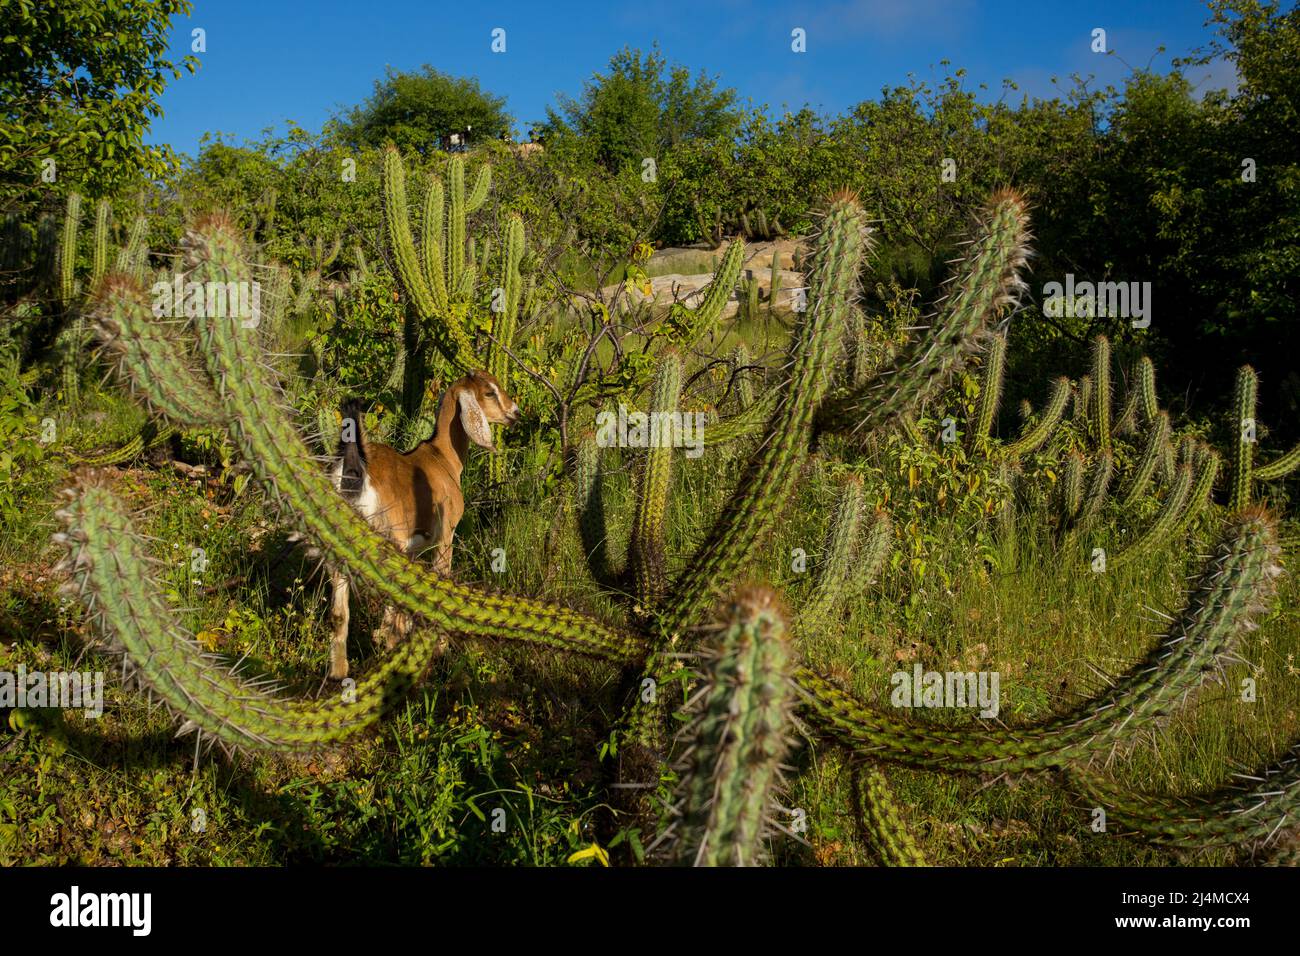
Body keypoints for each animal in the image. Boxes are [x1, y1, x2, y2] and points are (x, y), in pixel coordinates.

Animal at [327, 369, 520, 681]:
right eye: (489, 392)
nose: (515, 413)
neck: (442, 458)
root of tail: (354, 477)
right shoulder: (445, 535)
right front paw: (439, 647)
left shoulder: (413, 549)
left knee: (339, 612)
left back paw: (339, 671)